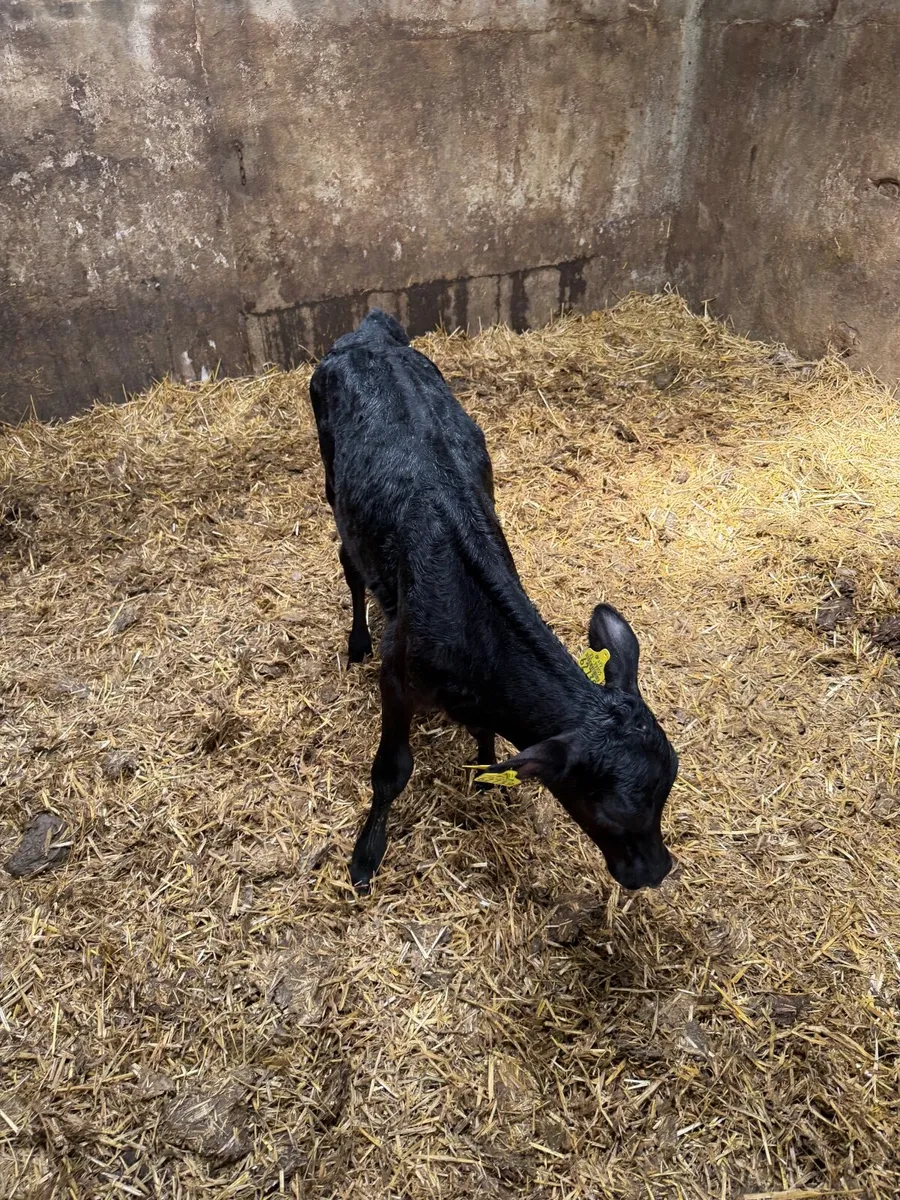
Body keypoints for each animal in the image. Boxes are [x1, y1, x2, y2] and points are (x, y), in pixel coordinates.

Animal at [309, 309, 677, 894]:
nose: (656, 871)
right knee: (349, 562)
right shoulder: (398, 674)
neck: (474, 623)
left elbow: (484, 732)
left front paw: (483, 772)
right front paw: (366, 856)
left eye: (668, 786)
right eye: (615, 812)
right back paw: (357, 639)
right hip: (331, 479)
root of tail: (369, 332)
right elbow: (391, 771)